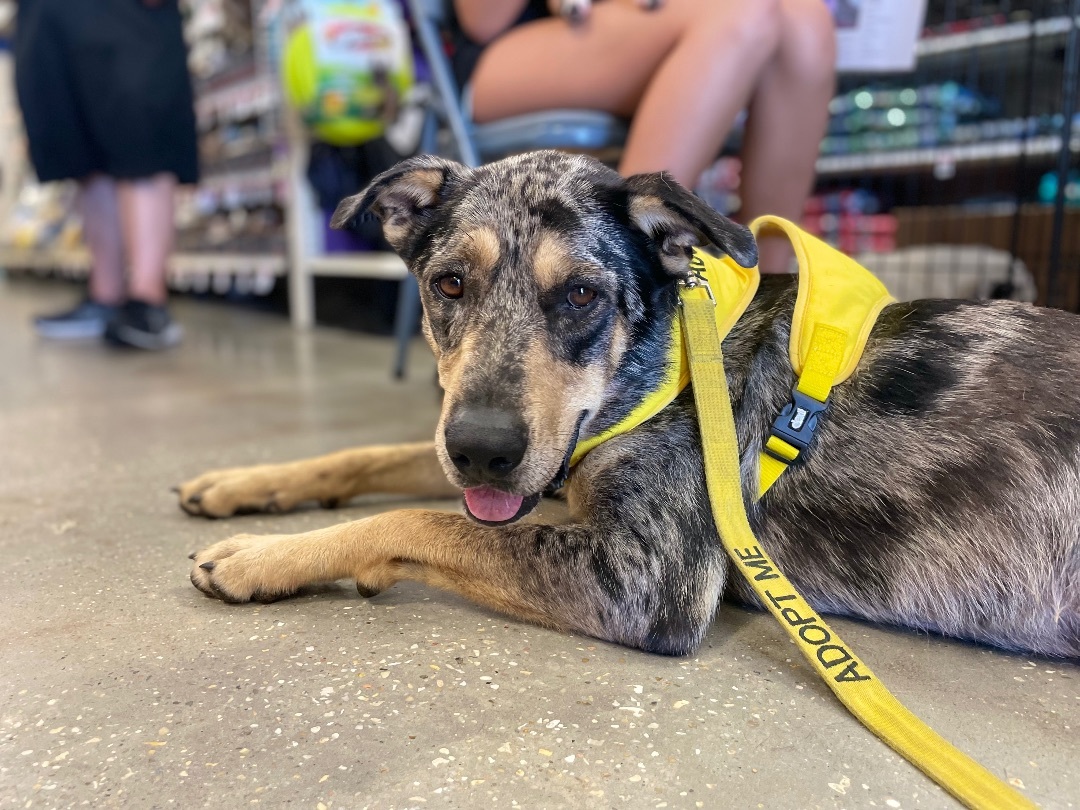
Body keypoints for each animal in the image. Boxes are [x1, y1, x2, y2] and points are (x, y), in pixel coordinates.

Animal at [183, 149, 1080, 660]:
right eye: (450, 284)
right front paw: (243, 484)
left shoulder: (644, 576)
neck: (651, 367)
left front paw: (263, 556)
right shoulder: (500, 456)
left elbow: (416, 520)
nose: (481, 449)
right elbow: (373, 456)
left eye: (582, 295)